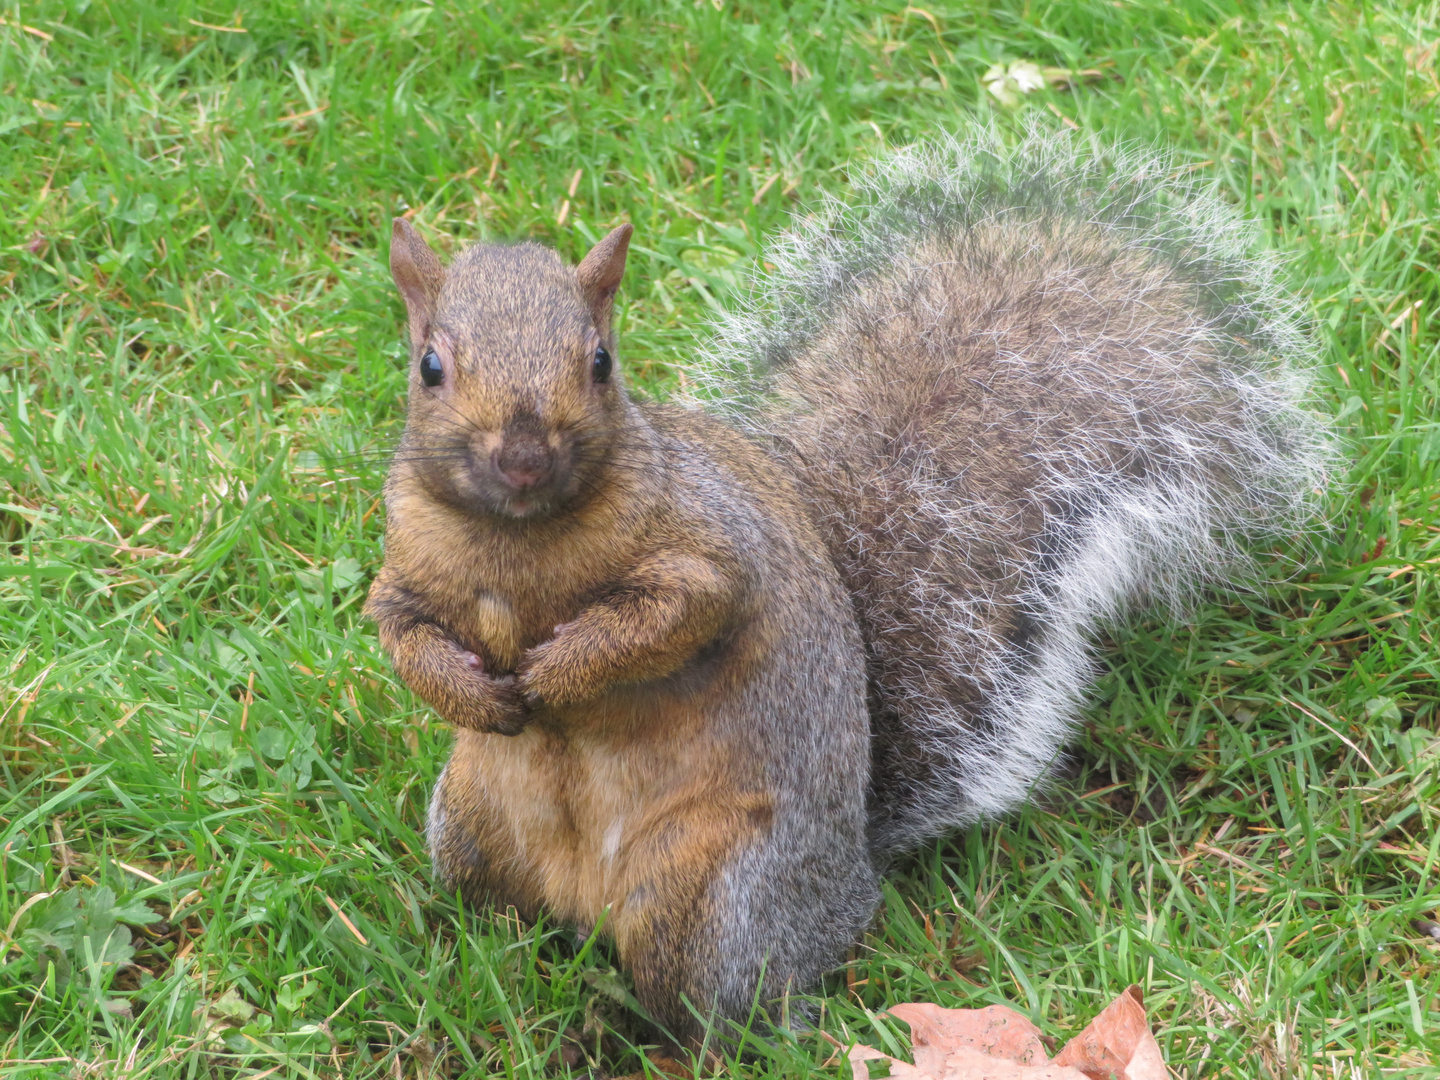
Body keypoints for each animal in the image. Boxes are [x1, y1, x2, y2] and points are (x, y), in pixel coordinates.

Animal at [365, 126, 1330, 1048]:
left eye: (599, 361)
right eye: (429, 367)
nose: (524, 455)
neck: (517, 539)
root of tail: (852, 872)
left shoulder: (710, 548)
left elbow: (671, 616)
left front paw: (558, 673)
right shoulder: (402, 569)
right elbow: (401, 635)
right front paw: (469, 693)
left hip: (715, 896)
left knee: (726, 1009)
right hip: (473, 829)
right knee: (504, 919)